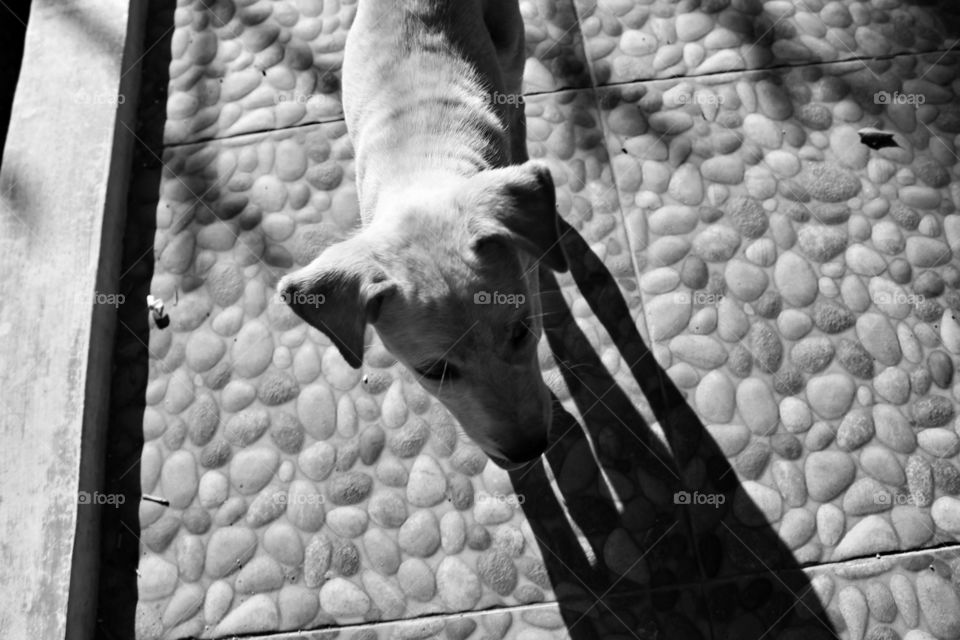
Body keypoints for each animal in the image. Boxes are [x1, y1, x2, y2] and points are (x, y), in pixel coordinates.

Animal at [276, 0, 568, 470]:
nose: (530, 450)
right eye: (433, 371)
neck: (420, 163)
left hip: (510, 46)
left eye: (522, 331)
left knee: (519, 102)